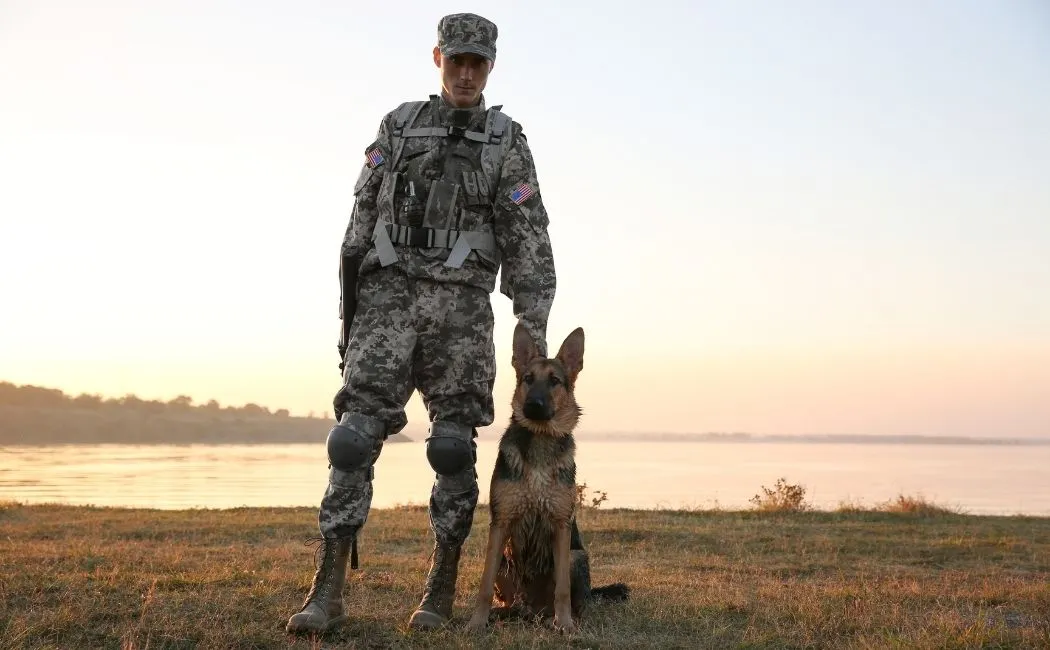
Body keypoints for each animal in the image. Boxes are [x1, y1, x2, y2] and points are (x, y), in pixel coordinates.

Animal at [470, 323, 630, 634]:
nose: (533, 404)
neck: (541, 440)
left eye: (554, 381)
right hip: (507, 561)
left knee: (579, 601)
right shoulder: (501, 524)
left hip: (575, 556)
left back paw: (562, 618)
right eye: (528, 379)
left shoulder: (561, 525)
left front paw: (565, 623)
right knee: (512, 600)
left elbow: (563, 591)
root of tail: (531, 609)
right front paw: (476, 622)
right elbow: (484, 583)